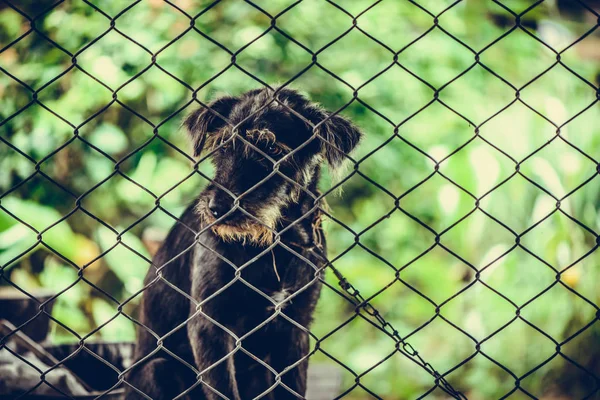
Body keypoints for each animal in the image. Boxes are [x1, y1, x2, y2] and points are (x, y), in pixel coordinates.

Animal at [125, 88, 360, 400]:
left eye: (273, 150)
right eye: (223, 146)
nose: (216, 208)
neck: (274, 242)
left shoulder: (296, 327)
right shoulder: (209, 324)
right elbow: (223, 388)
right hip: (159, 369)